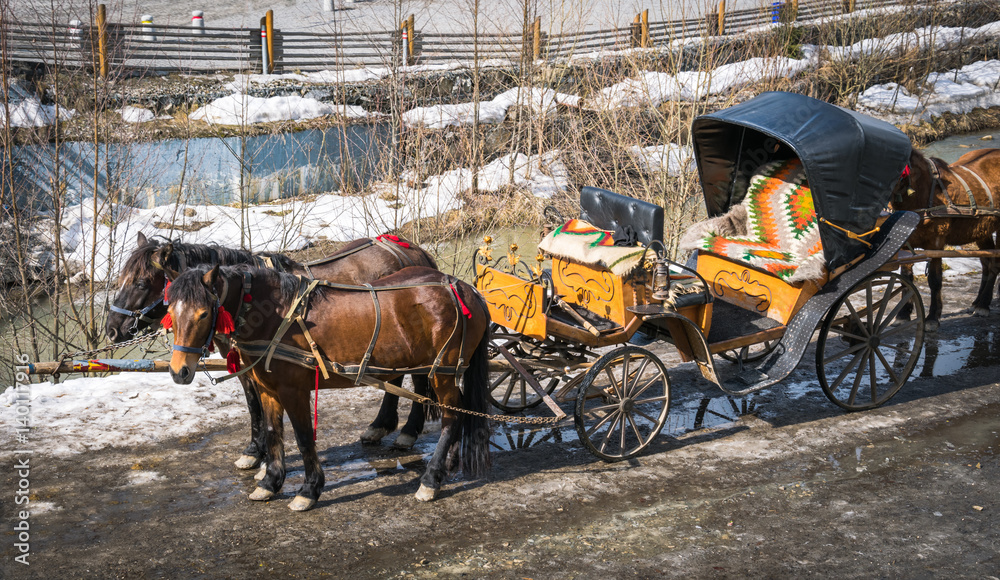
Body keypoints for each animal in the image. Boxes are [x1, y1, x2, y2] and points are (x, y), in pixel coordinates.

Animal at [106, 231, 442, 472]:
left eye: (141, 283)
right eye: (119, 280)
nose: (112, 329)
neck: (244, 302)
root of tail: (413, 250)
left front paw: (260, 452)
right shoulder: (244, 365)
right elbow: (254, 404)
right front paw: (256, 451)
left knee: (418, 379)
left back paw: (408, 431)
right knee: (395, 379)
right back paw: (379, 426)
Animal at [165, 266, 492, 510]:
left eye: (203, 313)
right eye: (171, 312)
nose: (179, 371)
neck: (276, 317)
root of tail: (465, 290)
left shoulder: (293, 390)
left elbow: (303, 438)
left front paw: (309, 490)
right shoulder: (268, 390)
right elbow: (272, 434)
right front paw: (270, 482)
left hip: (443, 372)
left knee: (451, 416)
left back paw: (431, 479)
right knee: (458, 410)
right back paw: (449, 461)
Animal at [892, 147, 1000, 330]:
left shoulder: (936, 243)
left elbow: (935, 280)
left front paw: (932, 318)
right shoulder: (906, 244)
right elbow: (906, 278)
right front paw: (903, 314)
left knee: (995, 264)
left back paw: (984, 305)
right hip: (982, 230)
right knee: (987, 263)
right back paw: (977, 302)